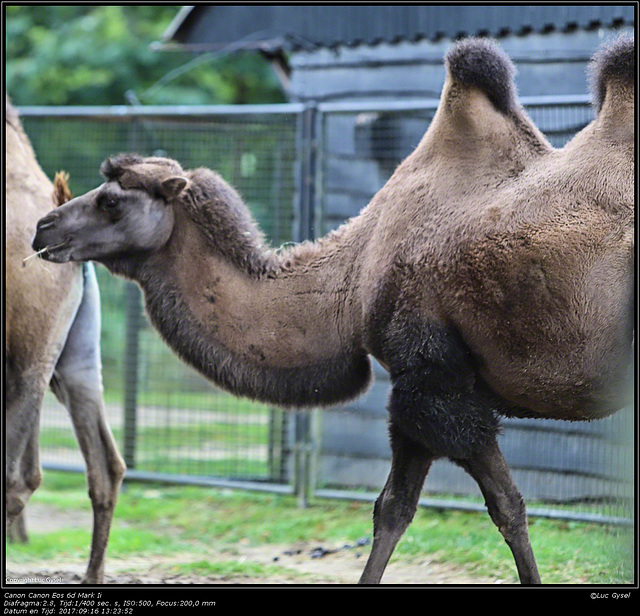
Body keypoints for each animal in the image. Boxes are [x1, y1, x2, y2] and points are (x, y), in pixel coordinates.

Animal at [31, 36, 636, 584]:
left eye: (111, 200)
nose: (42, 227)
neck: (349, 282)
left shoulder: (431, 380)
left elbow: (462, 507)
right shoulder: (435, 384)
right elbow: (427, 508)